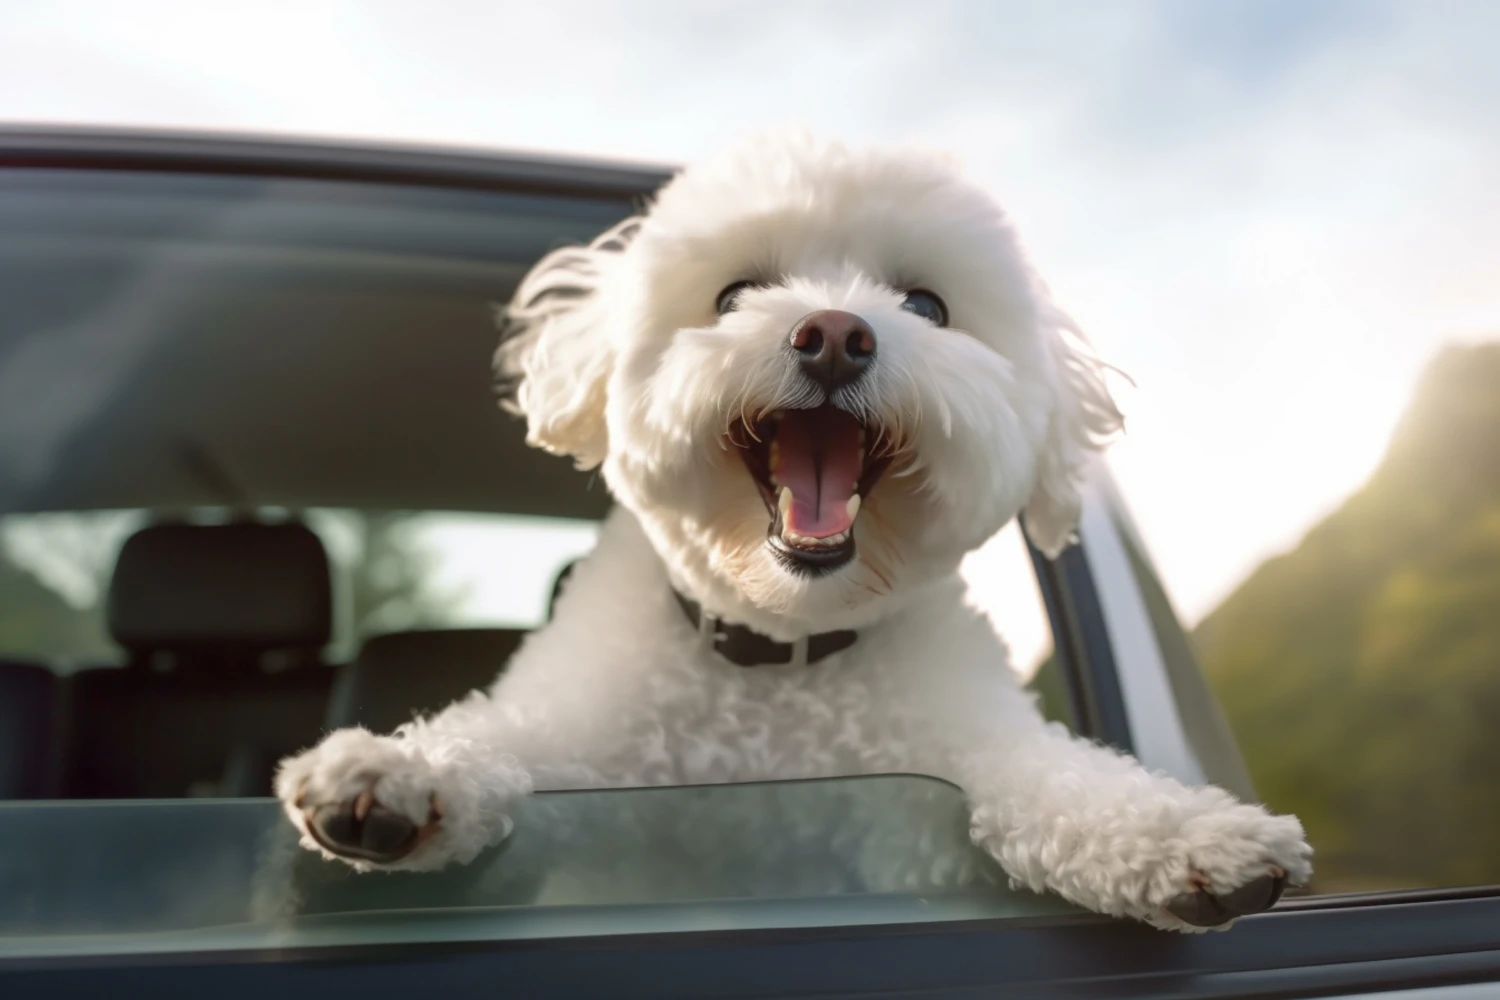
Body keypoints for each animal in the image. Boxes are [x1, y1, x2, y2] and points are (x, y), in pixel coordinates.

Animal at [276, 131, 1308, 929]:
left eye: (926, 305)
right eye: (735, 293)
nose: (837, 334)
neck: (779, 655)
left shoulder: (951, 769)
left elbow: (1059, 783)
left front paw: (1191, 833)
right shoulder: (581, 750)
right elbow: (495, 743)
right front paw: (400, 772)